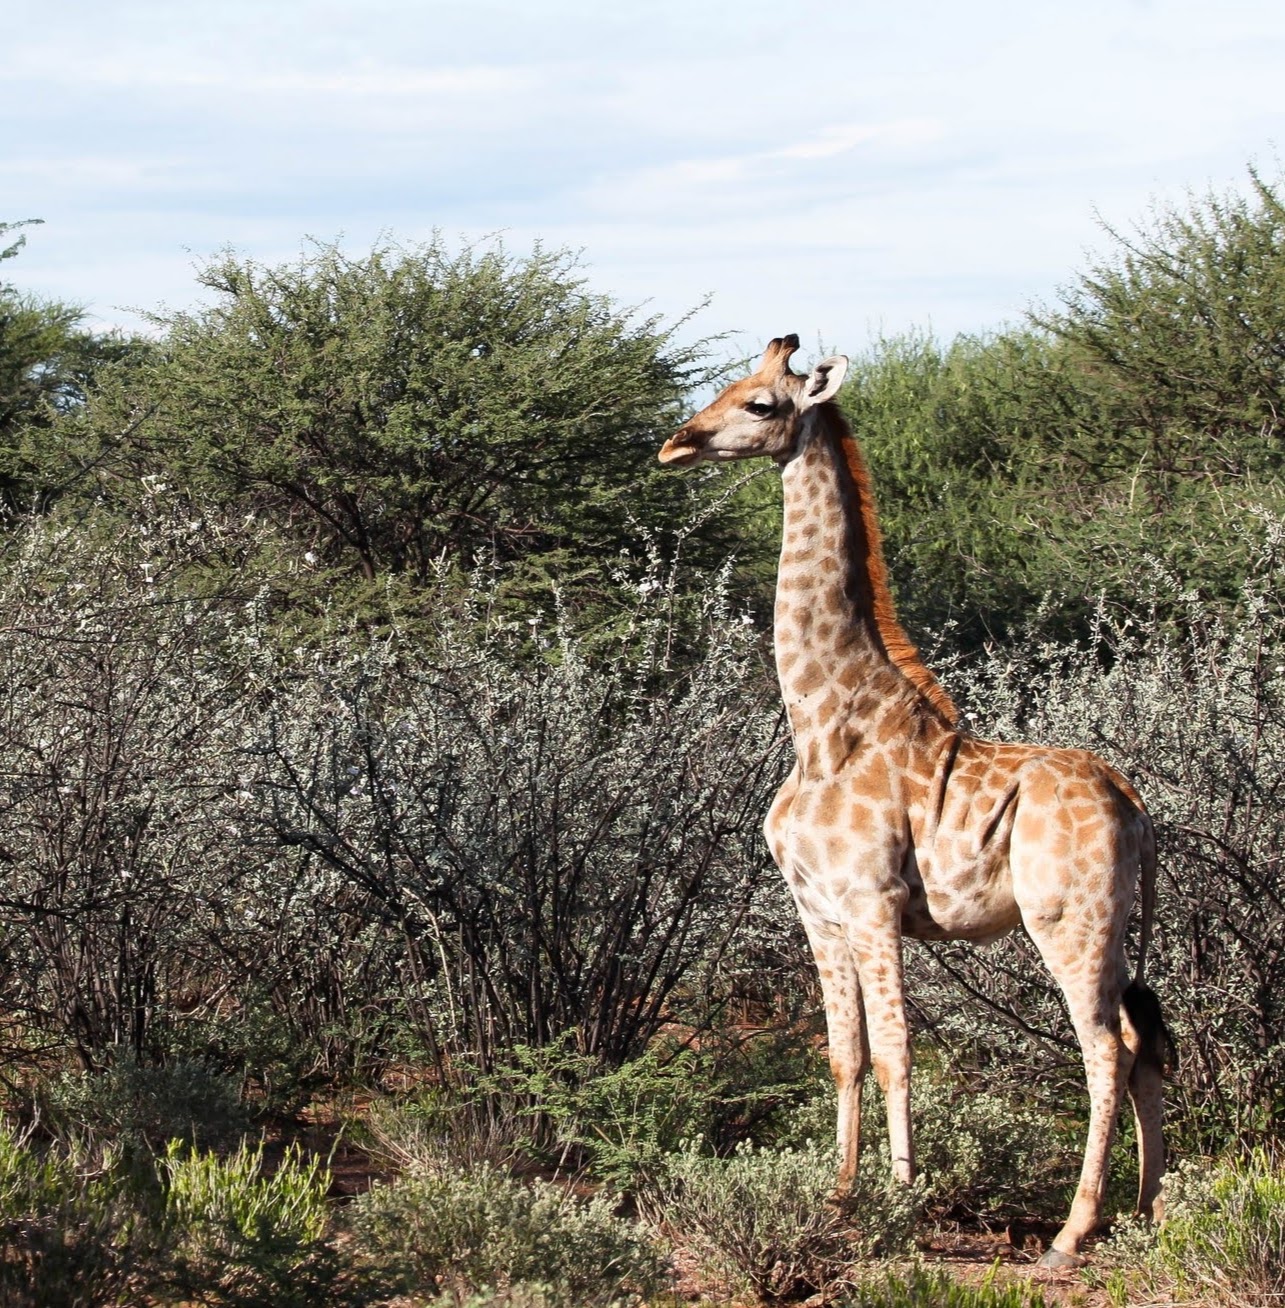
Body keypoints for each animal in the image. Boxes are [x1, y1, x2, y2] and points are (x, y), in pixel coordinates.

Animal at [659, 334, 1172, 1266]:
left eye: (760, 403)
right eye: (728, 385)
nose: (676, 444)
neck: (823, 724)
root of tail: (1134, 804)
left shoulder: (872, 902)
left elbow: (897, 1051)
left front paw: (896, 1204)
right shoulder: (817, 911)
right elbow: (843, 1054)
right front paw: (835, 1198)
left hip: (1066, 920)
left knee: (1105, 1048)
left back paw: (1071, 1232)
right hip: (1113, 927)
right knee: (1146, 1040)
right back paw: (1146, 1213)